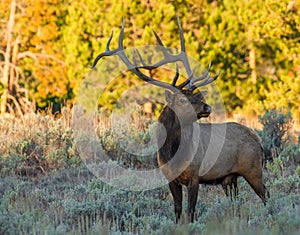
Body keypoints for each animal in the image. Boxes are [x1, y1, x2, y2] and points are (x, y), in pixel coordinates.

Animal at [91, 17, 270, 224]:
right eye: (183, 99)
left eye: (195, 96)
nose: (207, 107)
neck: (172, 154)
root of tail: (258, 139)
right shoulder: (170, 180)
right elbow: (177, 210)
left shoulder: (195, 177)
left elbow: (190, 212)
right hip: (230, 178)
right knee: (237, 202)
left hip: (253, 169)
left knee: (266, 194)